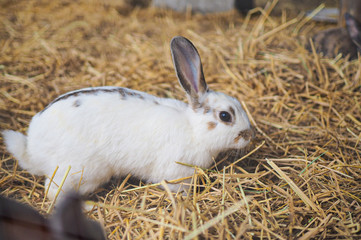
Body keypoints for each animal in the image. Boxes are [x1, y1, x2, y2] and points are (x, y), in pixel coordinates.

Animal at [1, 36, 253, 201]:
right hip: (80, 172)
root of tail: (33, 149)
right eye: (225, 116)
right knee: (53, 192)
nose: (249, 135)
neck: (194, 130)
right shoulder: (176, 174)